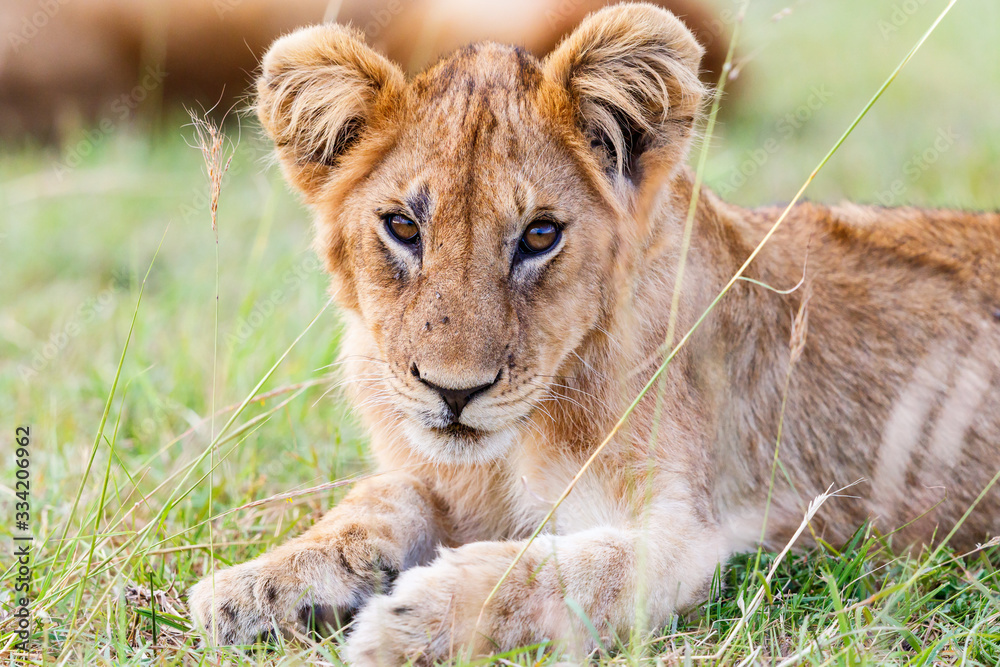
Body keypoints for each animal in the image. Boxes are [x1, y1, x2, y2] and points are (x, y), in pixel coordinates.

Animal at [189, 3, 1000, 663]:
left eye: (540, 235)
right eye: (402, 228)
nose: (455, 394)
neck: (518, 443)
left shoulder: (690, 537)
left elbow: (559, 569)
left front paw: (408, 620)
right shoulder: (442, 479)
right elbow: (375, 501)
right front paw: (249, 588)